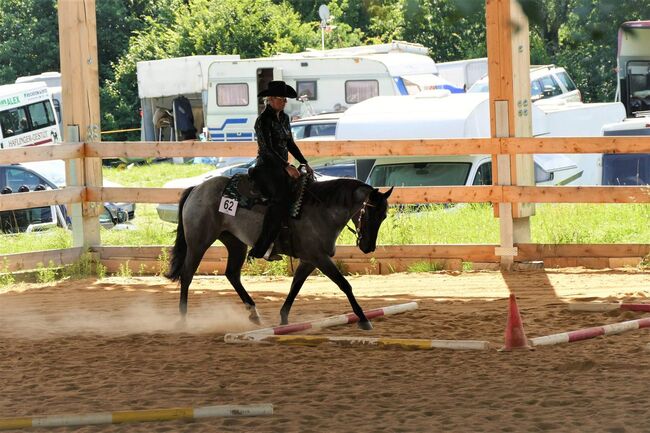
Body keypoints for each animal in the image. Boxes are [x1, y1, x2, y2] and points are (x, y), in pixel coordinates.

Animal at [165, 174, 392, 330]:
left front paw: (283, 318)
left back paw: (254, 313)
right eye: (368, 212)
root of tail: (196, 188)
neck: (322, 210)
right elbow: (344, 285)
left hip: (235, 243)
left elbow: (295, 287)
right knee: (187, 274)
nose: (368, 247)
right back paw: (183, 319)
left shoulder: (309, 260)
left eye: (383, 216)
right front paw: (363, 319)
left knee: (232, 274)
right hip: (199, 243)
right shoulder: (319, 258)